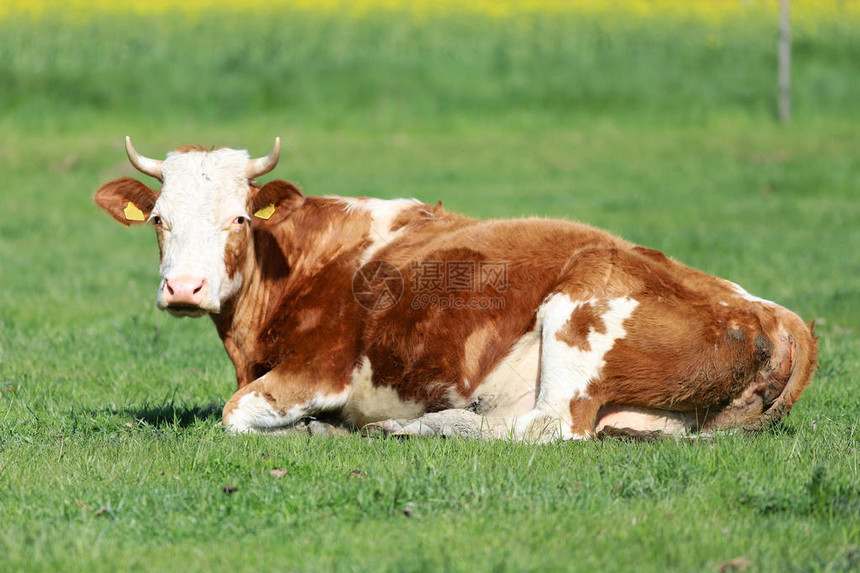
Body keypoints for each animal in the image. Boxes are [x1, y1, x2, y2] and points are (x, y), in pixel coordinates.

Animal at [90, 136, 816, 440]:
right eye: (159, 219)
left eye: (238, 217)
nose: (185, 288)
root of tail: (772, 310)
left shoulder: (321, 369)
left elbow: (235, 412)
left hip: (579, 307)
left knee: (547, 427)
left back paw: (421, 427)